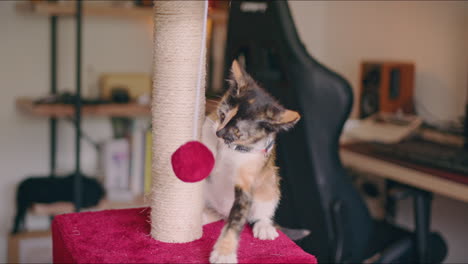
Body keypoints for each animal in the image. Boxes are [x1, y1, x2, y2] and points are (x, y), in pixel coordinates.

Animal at [202, 60, 300, 262]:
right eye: (222, 116)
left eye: (237, 132)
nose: (219, 133)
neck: (229, 149)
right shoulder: (209, 126)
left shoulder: (248, 178)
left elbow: (236, 219)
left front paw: (224, 253)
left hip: (270, 183)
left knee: (257, 211)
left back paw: (264, 226)